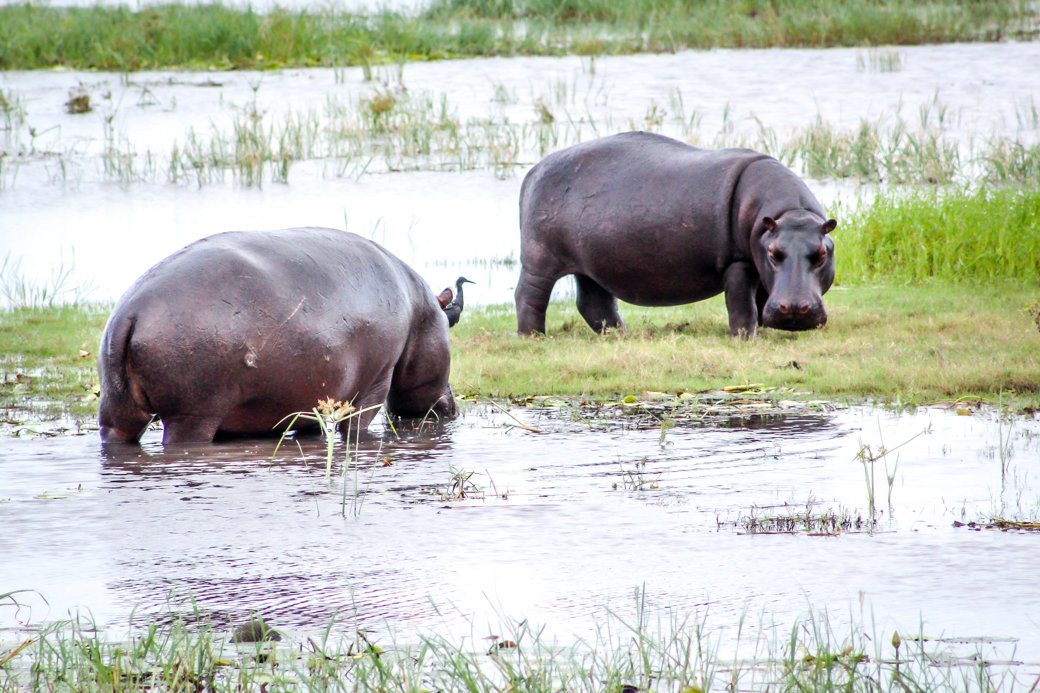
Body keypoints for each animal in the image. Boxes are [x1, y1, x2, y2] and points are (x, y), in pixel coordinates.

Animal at [100, 226, 455, 443]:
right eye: (451, 327)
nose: (452, 406)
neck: (420, 309)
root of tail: (130, 314)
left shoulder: (306, 395)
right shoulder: (377, 378)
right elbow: (358, 424)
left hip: (117, 407)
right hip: (192, 414)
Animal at [513, 131, 836, 337]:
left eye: (823, 252)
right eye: (773, 252)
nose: (793, 309)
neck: (789, 213)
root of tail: (533, 170)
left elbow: (761, 295)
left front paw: (767, 329)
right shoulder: (738, 262)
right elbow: (741, 303)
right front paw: (746, 337)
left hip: (591, 263)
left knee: (594, 303)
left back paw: (619, 334)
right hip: (539, 260)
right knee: (530, 296)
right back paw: (534, 337)